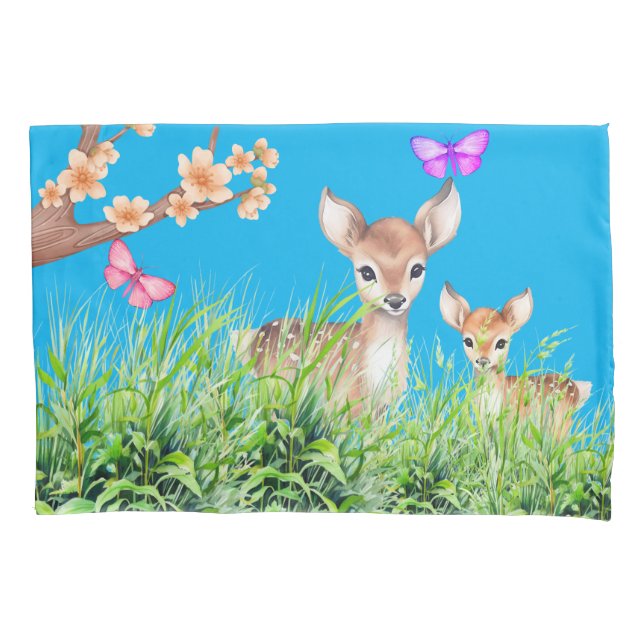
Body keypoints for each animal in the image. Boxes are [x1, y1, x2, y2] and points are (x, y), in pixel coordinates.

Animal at [232, 178, 462, 414]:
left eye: (417, 269)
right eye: (366, 272)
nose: (395, 300)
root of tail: (254, 335)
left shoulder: (381, 408)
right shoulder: (345, 401)